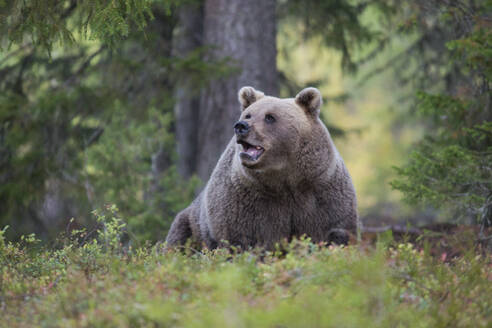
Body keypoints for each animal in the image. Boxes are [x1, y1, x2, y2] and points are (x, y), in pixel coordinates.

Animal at [165, 86, 358, 250]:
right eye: (248, 115)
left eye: (270, 117)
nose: (241, 126)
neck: (285, 180)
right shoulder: (245, 200)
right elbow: (241, 239)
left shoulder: (321, 191)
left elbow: (335, 230)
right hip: (190, 223)